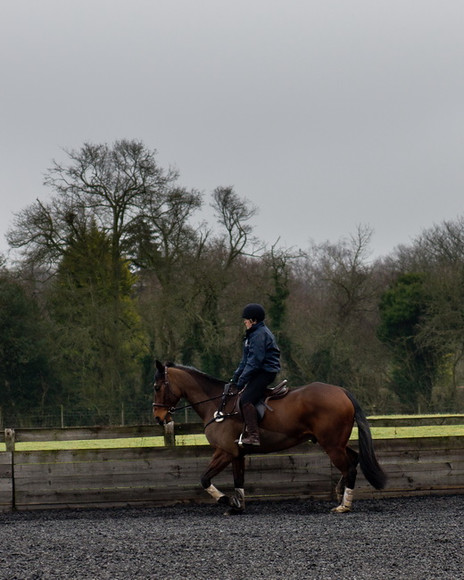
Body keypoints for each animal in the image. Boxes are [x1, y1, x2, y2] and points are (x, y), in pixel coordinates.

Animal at [151, 360, 384, 516]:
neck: (218, 404)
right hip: (336, 443)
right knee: (354, 459)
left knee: (349, 467)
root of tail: (342, 391)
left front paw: (228, 501)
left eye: (157, 387)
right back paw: (340, 492)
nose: (159, 418)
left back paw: (344, 505)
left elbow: (204, 479)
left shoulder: (224, 451)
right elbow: (238, 480)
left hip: (332, 445)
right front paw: (238, 506)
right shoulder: (237, 453)